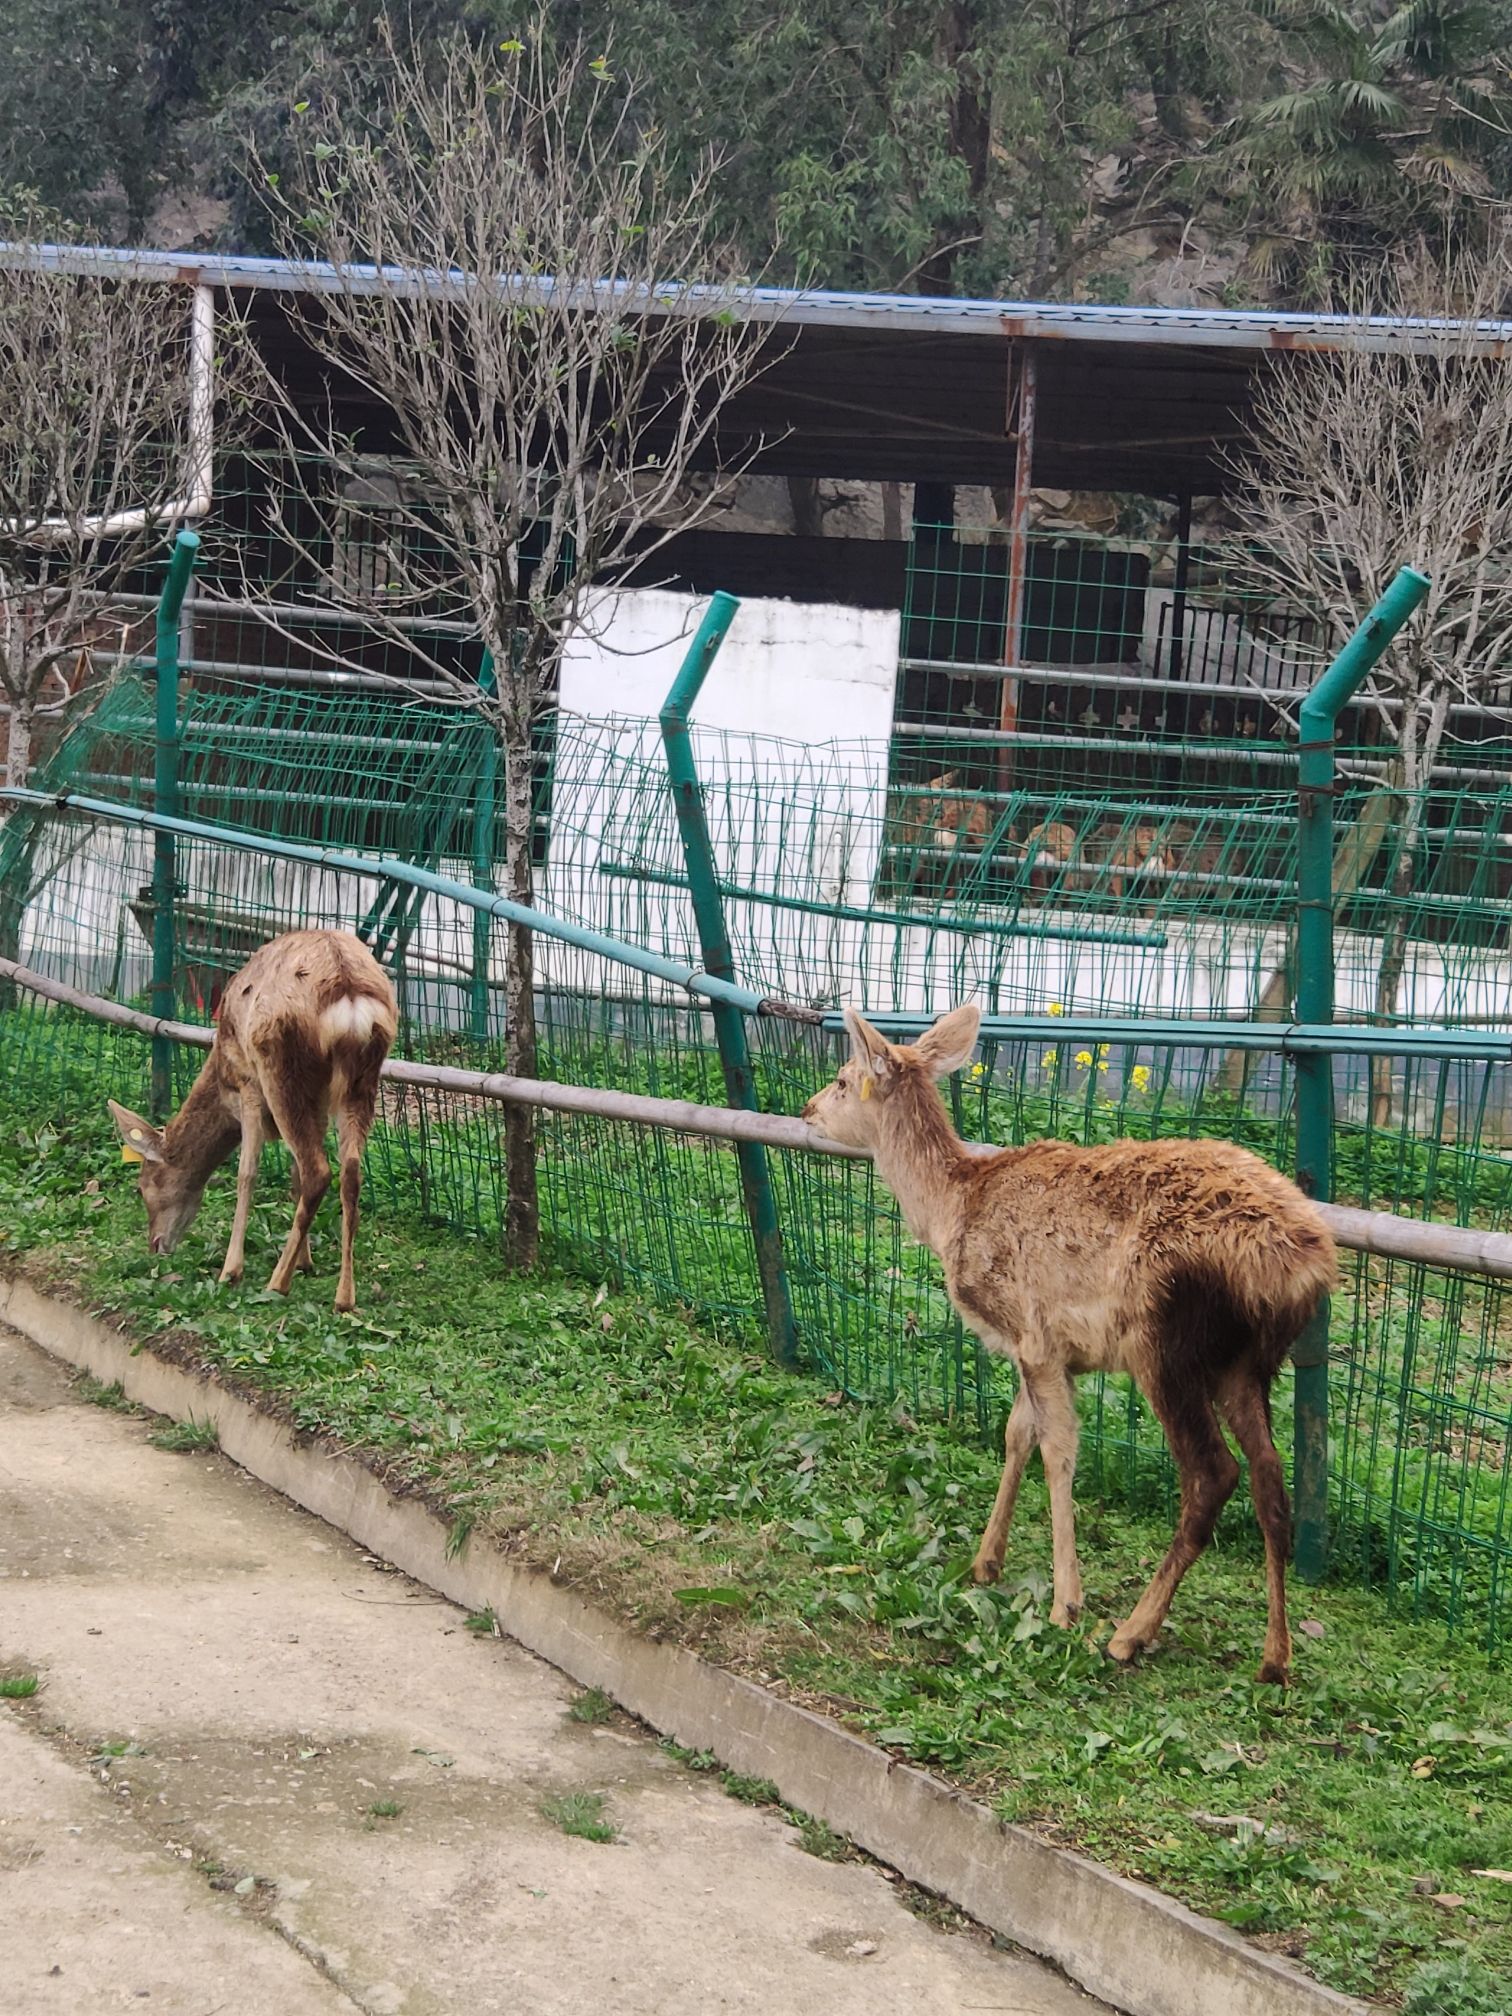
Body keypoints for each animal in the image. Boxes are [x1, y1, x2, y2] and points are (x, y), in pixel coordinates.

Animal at [107, 929, 398, 1314]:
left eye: (142, 1186)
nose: (155, 1244)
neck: (220, 1073)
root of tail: (349, 997)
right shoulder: (318, 1102)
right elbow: (292, 1174)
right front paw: (305, 1261)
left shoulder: (246, 1086)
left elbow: (247, 1173)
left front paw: (231, 1270)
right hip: (361, 1080)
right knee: (349, 1172)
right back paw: (344, 1297)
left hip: (281, 1066)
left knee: (318, 1171)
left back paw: (277, 1282)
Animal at [802, 1003, 1338, 1684]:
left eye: (843, 1079)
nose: (808, 1108)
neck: (951, 1214)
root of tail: (1304, 1269)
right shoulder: (1045, 1352)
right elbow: (1016, 1433)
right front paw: (986, 1562)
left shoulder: (1033, 1333)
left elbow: (1057, 1450)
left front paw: (1065, 1602)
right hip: (1247, 1362)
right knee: (1272, 1478)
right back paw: (1275, 1656)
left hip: (1164, 1342)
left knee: (1214, 1474)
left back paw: (1131, 1633)